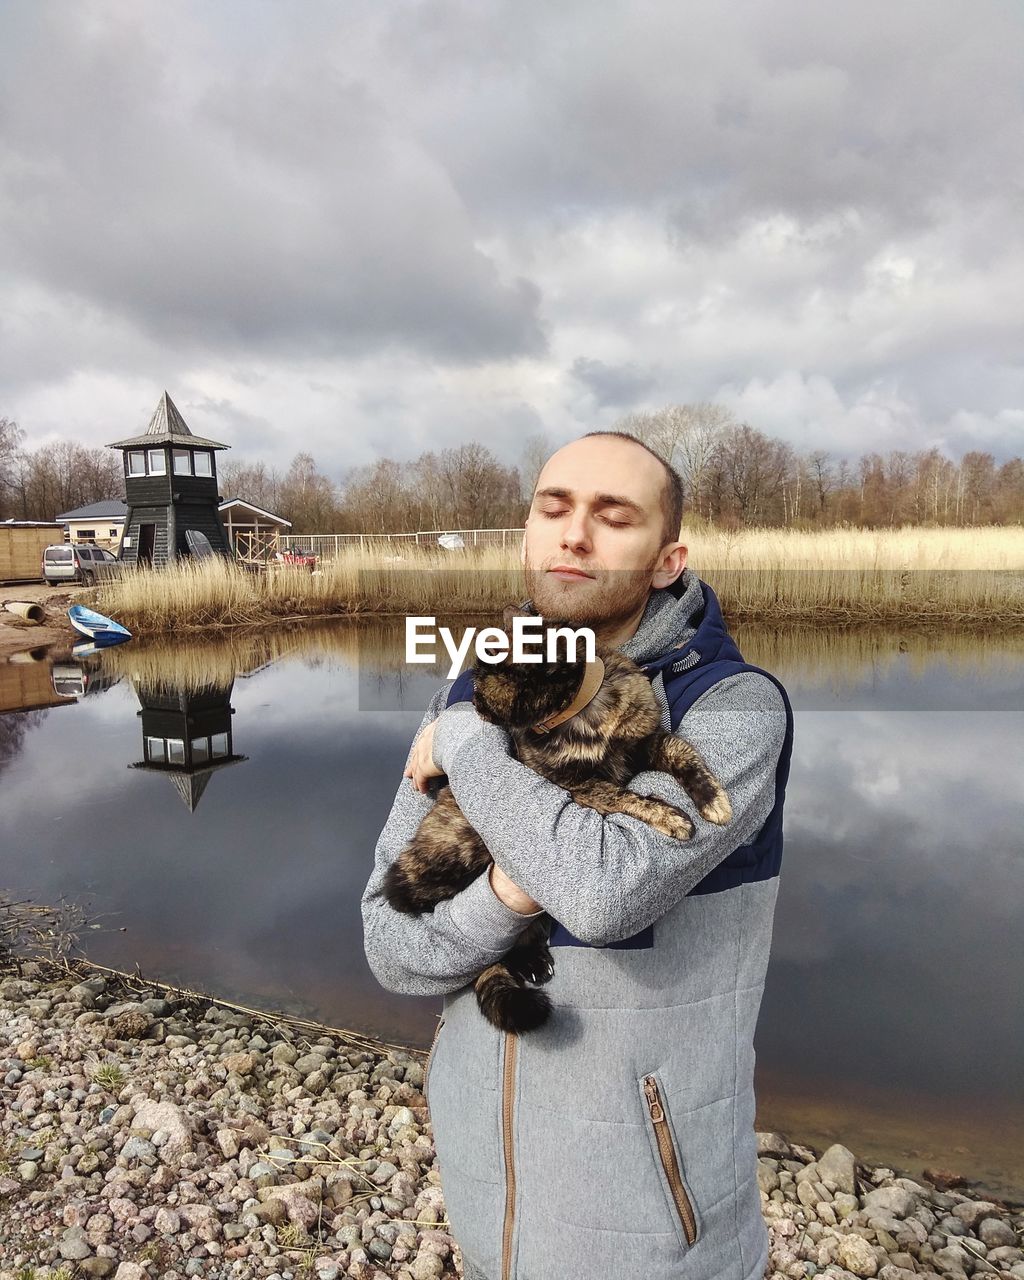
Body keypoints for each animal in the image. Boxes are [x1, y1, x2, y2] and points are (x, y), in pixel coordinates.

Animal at [381, 604, 727, 1034]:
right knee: (443, 915)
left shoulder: (645, 741)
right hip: (457, 848)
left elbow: (684, 754)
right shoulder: (578, 785)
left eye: (482, 679)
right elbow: (626, 797)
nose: (473, 701)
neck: (584, 715)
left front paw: (714, 801)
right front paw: (672, 817)